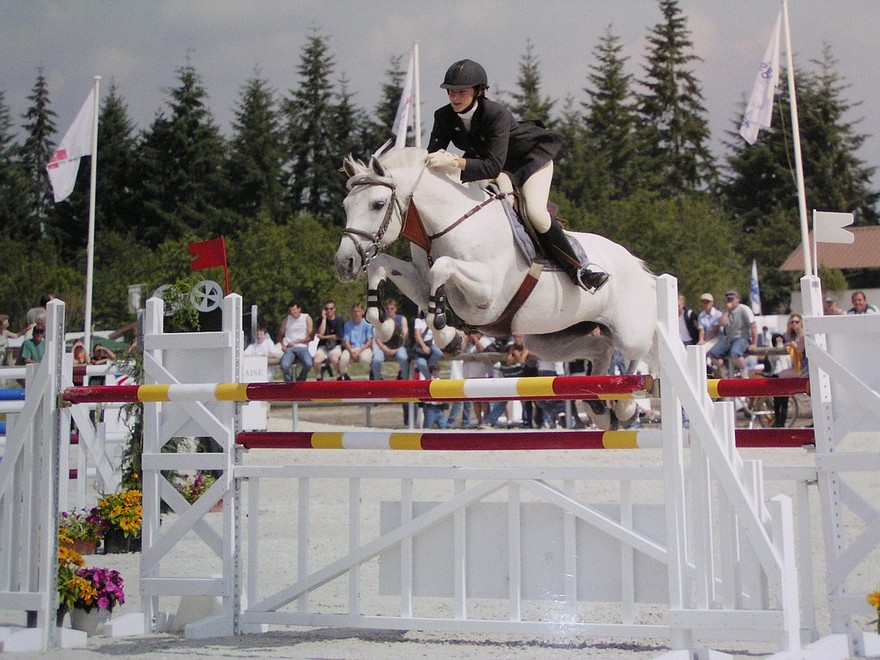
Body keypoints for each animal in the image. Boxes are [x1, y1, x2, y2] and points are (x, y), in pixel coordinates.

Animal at [336, 148, 660, 428]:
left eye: (378, 204)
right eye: (345, 206)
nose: (344, 263)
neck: (449, 224)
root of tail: (641, 269)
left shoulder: (486, 296)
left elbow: (442, 267)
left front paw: (447, 335)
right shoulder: (421, 280)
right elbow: (383, 266)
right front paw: (390, 331)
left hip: (628, 332)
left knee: (636, 357)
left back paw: (625, 407)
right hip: (547, 340)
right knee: (601, 349)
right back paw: (600, 409)